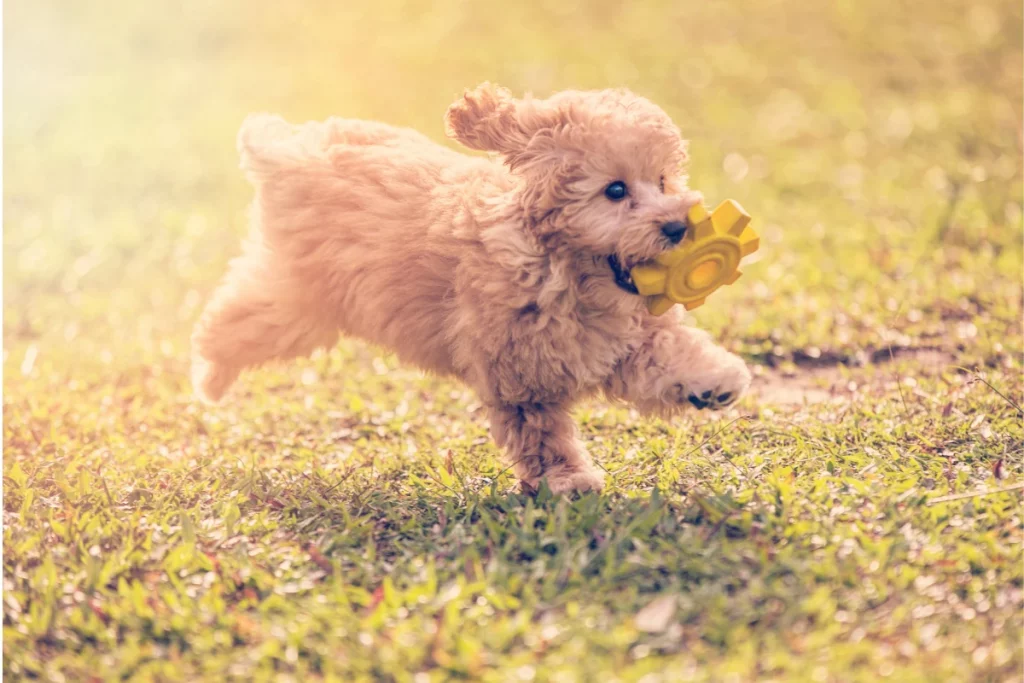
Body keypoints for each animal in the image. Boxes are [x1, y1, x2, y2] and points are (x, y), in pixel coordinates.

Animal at [192, 82, 753, 493]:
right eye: (615, 190)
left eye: (662, 182)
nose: (678, 227)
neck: (563, 271)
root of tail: (289, 148)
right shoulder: (520, 374)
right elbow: (543, 433)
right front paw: (568, 481)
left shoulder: (624, 336)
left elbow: (667, 353)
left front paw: (716, 379)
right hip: (299, 301)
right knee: (232, 321)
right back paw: (208, 376)